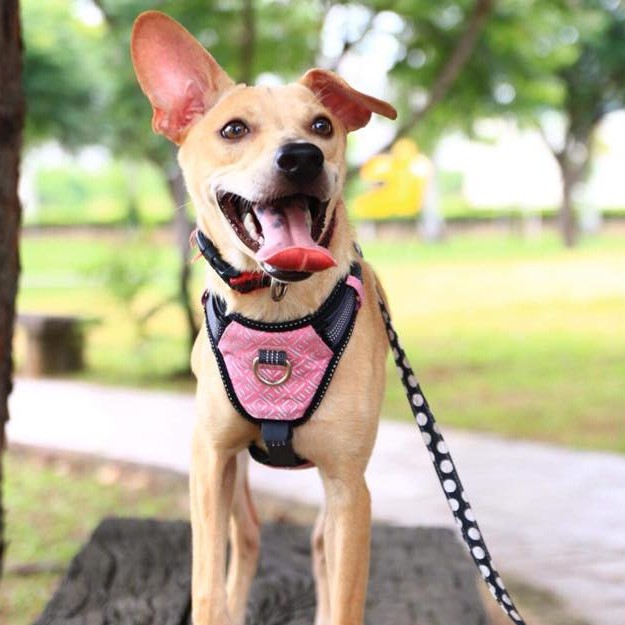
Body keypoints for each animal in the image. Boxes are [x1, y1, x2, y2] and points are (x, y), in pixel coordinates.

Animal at [131, 11, 397, 625]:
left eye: (322, 125)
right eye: (233, 130)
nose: (302, 157)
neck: (277, 308)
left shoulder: (350, 485)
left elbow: (344, 595)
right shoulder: (211, 460)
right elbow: (207, 584)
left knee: (319, 545)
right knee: (249, 534)